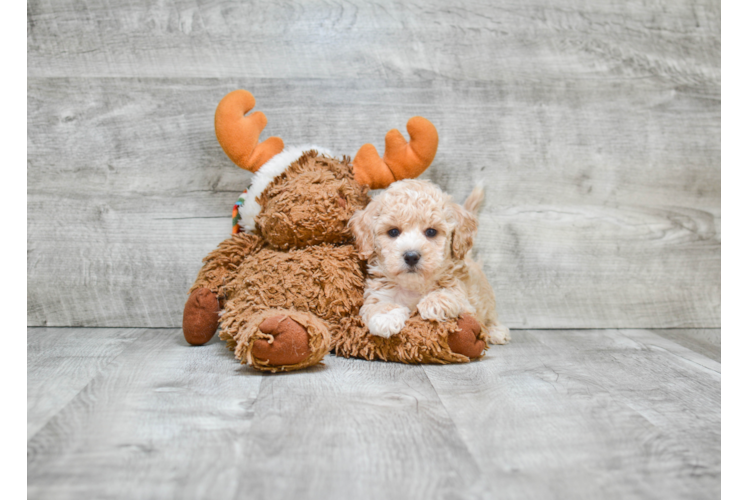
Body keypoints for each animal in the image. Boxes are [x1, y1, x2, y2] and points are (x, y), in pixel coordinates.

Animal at [350, 180, 512, 344]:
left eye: (431, 232)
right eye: (393, 232)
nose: (411, 256)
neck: (414, 286)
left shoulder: (466, 302)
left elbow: (454, 295)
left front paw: (435, 302)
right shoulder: (377, 294)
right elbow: (378, 305)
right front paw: (385, 318)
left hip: (488, 302)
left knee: (489, 317)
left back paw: (495, 331)